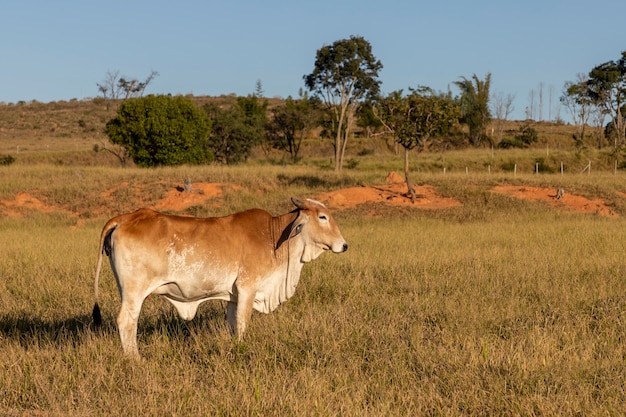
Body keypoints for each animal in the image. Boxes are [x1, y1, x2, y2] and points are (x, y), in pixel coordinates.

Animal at [91, 197, 346, 356]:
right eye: (322, 217)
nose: (344, 245)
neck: (273, 236)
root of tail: (127, 217)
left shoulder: (233, 296)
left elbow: (232, 325)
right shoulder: (247, 288)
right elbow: (242, 324)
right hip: (134, 292)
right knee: (126, 322)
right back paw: (135, 359)